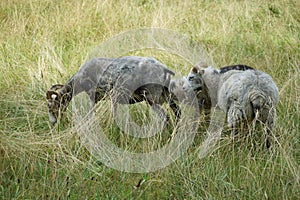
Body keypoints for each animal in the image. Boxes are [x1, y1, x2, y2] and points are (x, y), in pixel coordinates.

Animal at [45, 56, 179, 125]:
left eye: (53, 105)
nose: (53, 123)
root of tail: (164, 69)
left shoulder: (93, 96)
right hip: (168, 98)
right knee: (177, 113)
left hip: (152, 99)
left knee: (166, 117)